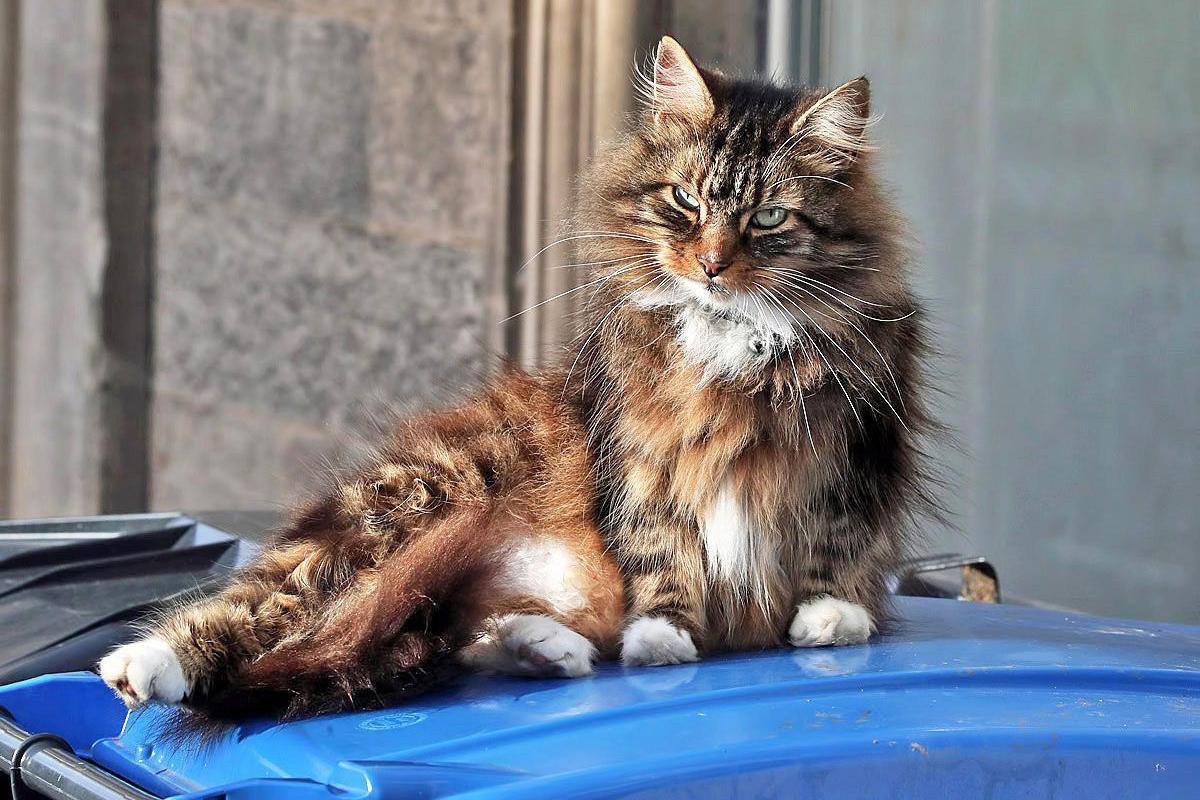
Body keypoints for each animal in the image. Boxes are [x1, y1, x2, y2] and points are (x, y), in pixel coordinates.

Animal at [98, 38, 931, 724]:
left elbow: (838, 546)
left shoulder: (856, 451)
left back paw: (546, 646)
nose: (711, 265)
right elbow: (661, 550)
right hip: (409, 498)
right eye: (685, 202)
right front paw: (662, 635)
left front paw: (830, 618)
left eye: (767, 218)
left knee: (478, 633)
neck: (731, 334)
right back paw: (144, 665)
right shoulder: (639, 455)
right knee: (266, 599)